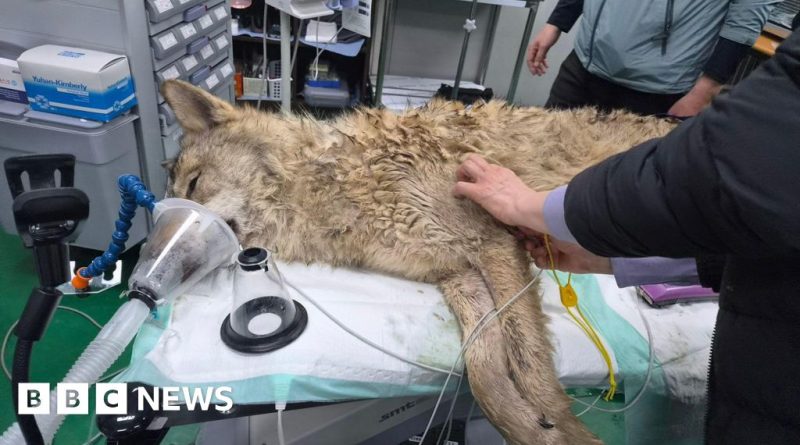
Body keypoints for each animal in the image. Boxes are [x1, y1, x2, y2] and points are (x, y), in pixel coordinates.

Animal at [161, 80, 675, 445]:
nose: (153, 278)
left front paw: (564, 429)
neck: (333, 182)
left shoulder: (493, 243)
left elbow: (528, 362)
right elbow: (486, 372)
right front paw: (532, 427)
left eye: (194, 185)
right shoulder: (458, 275)